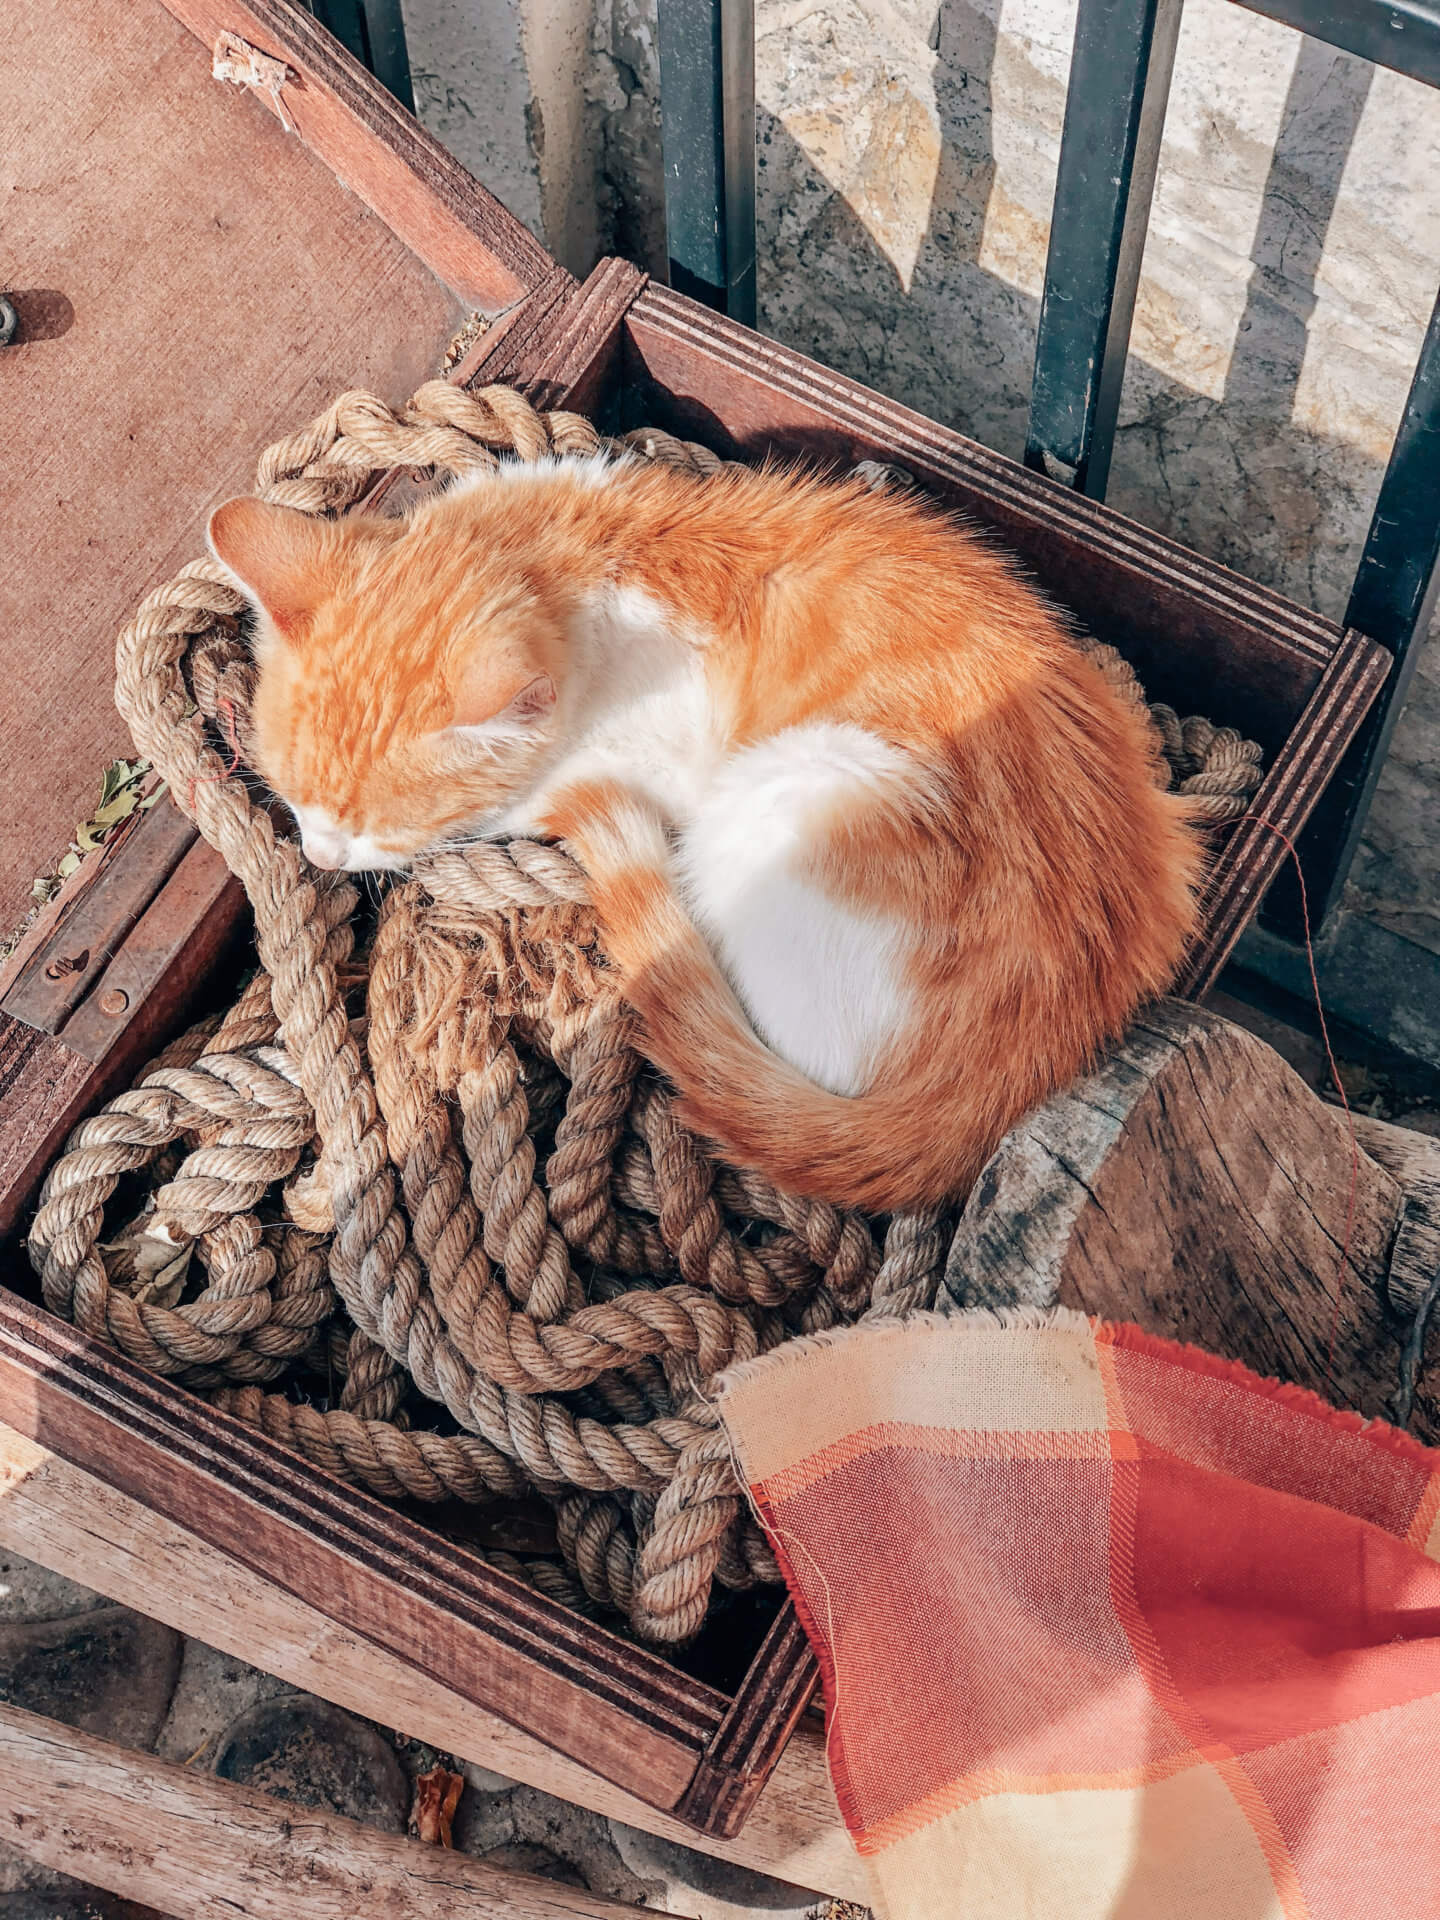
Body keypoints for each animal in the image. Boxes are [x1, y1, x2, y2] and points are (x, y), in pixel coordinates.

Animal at [211, 455, 1205, 1205]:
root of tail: (1009, 1077)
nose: (319, 854)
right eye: (291, 797)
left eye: (377, 827)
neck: (575, 554)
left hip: (778, 797)